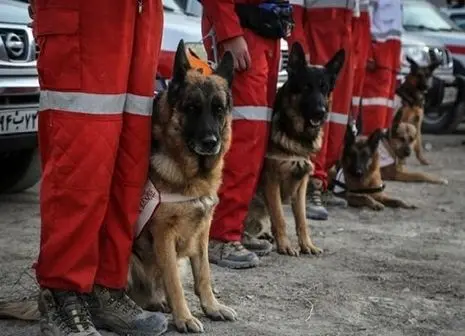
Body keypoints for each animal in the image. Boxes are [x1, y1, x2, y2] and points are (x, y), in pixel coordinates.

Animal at [243, 42, 344, 258]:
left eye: (324, 88)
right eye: (306, 87)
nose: (320, 112)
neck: (296, 134)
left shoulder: (302, 183)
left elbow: (302, 220)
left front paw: (307, 244)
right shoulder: (271, 181)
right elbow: (280, 217)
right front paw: (285, 245)